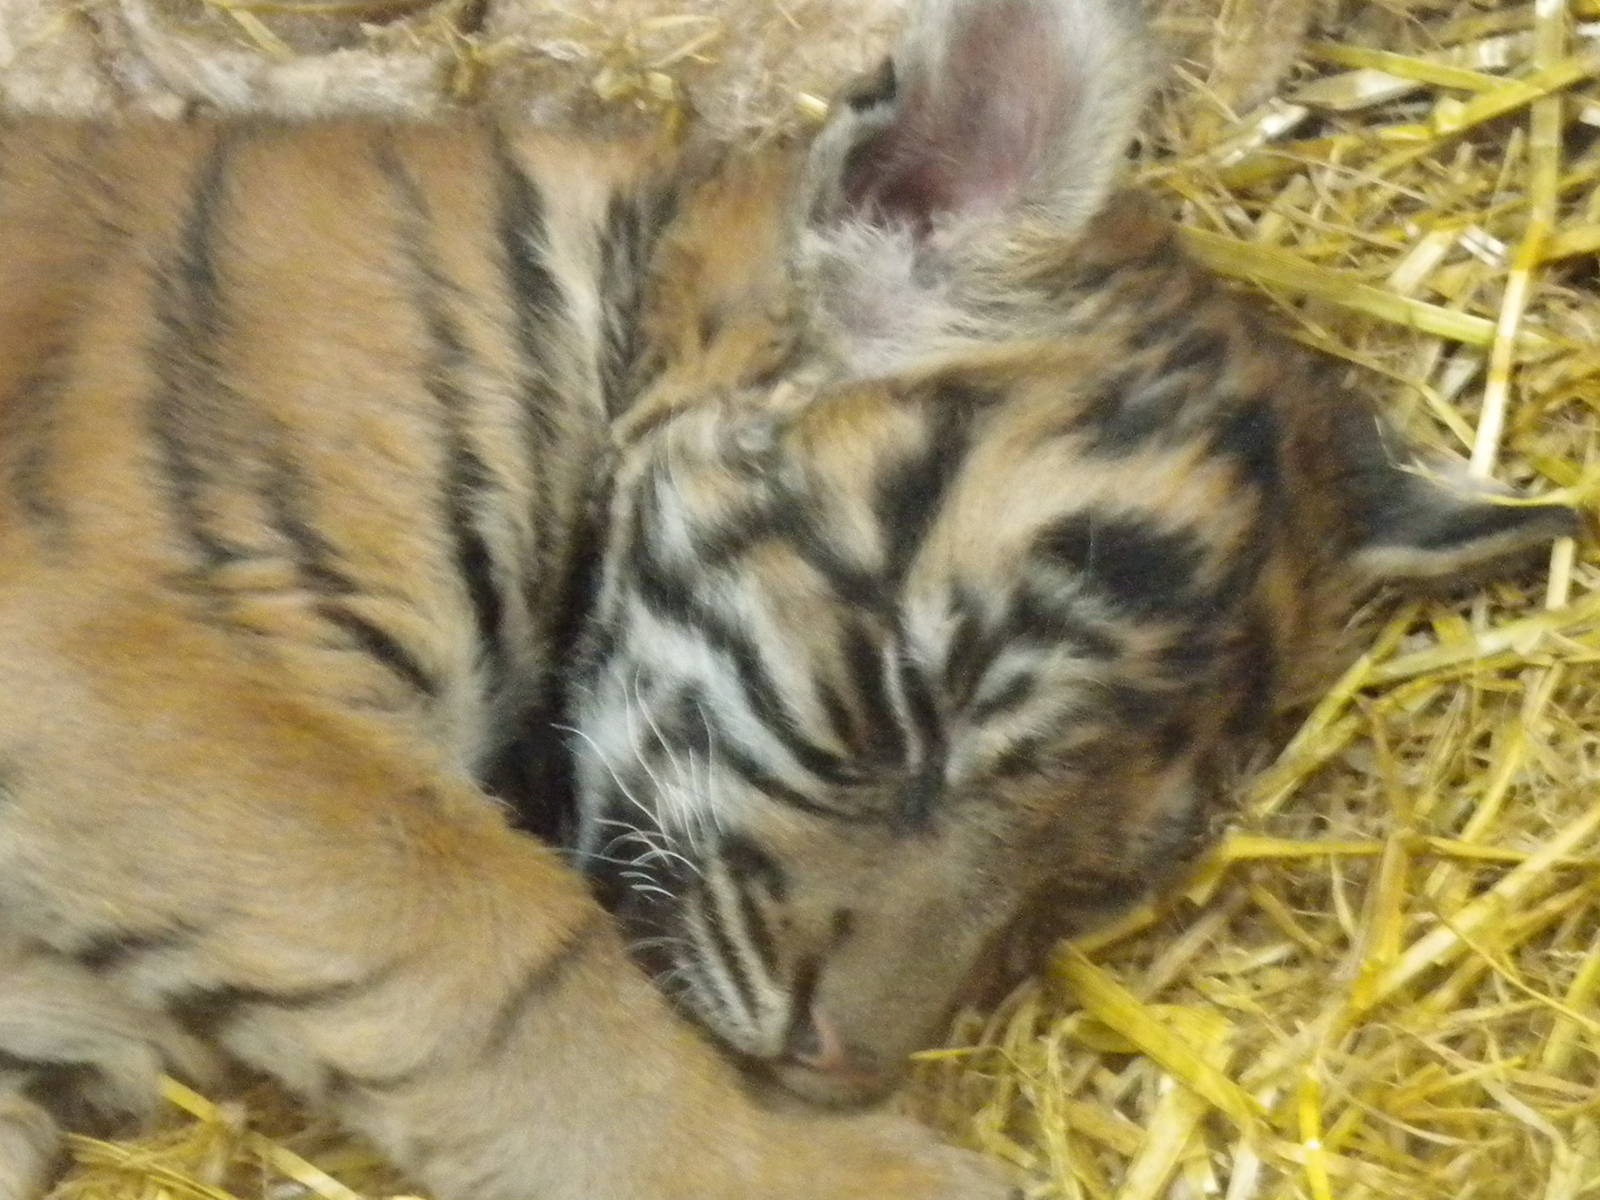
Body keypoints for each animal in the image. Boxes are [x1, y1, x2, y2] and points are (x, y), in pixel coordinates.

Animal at [0, 0, 1576, 1197]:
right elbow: (505, 961)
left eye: (1082, 880)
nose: (843, 1065)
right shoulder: (155, 663)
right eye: (905, 712)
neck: (612, 314)